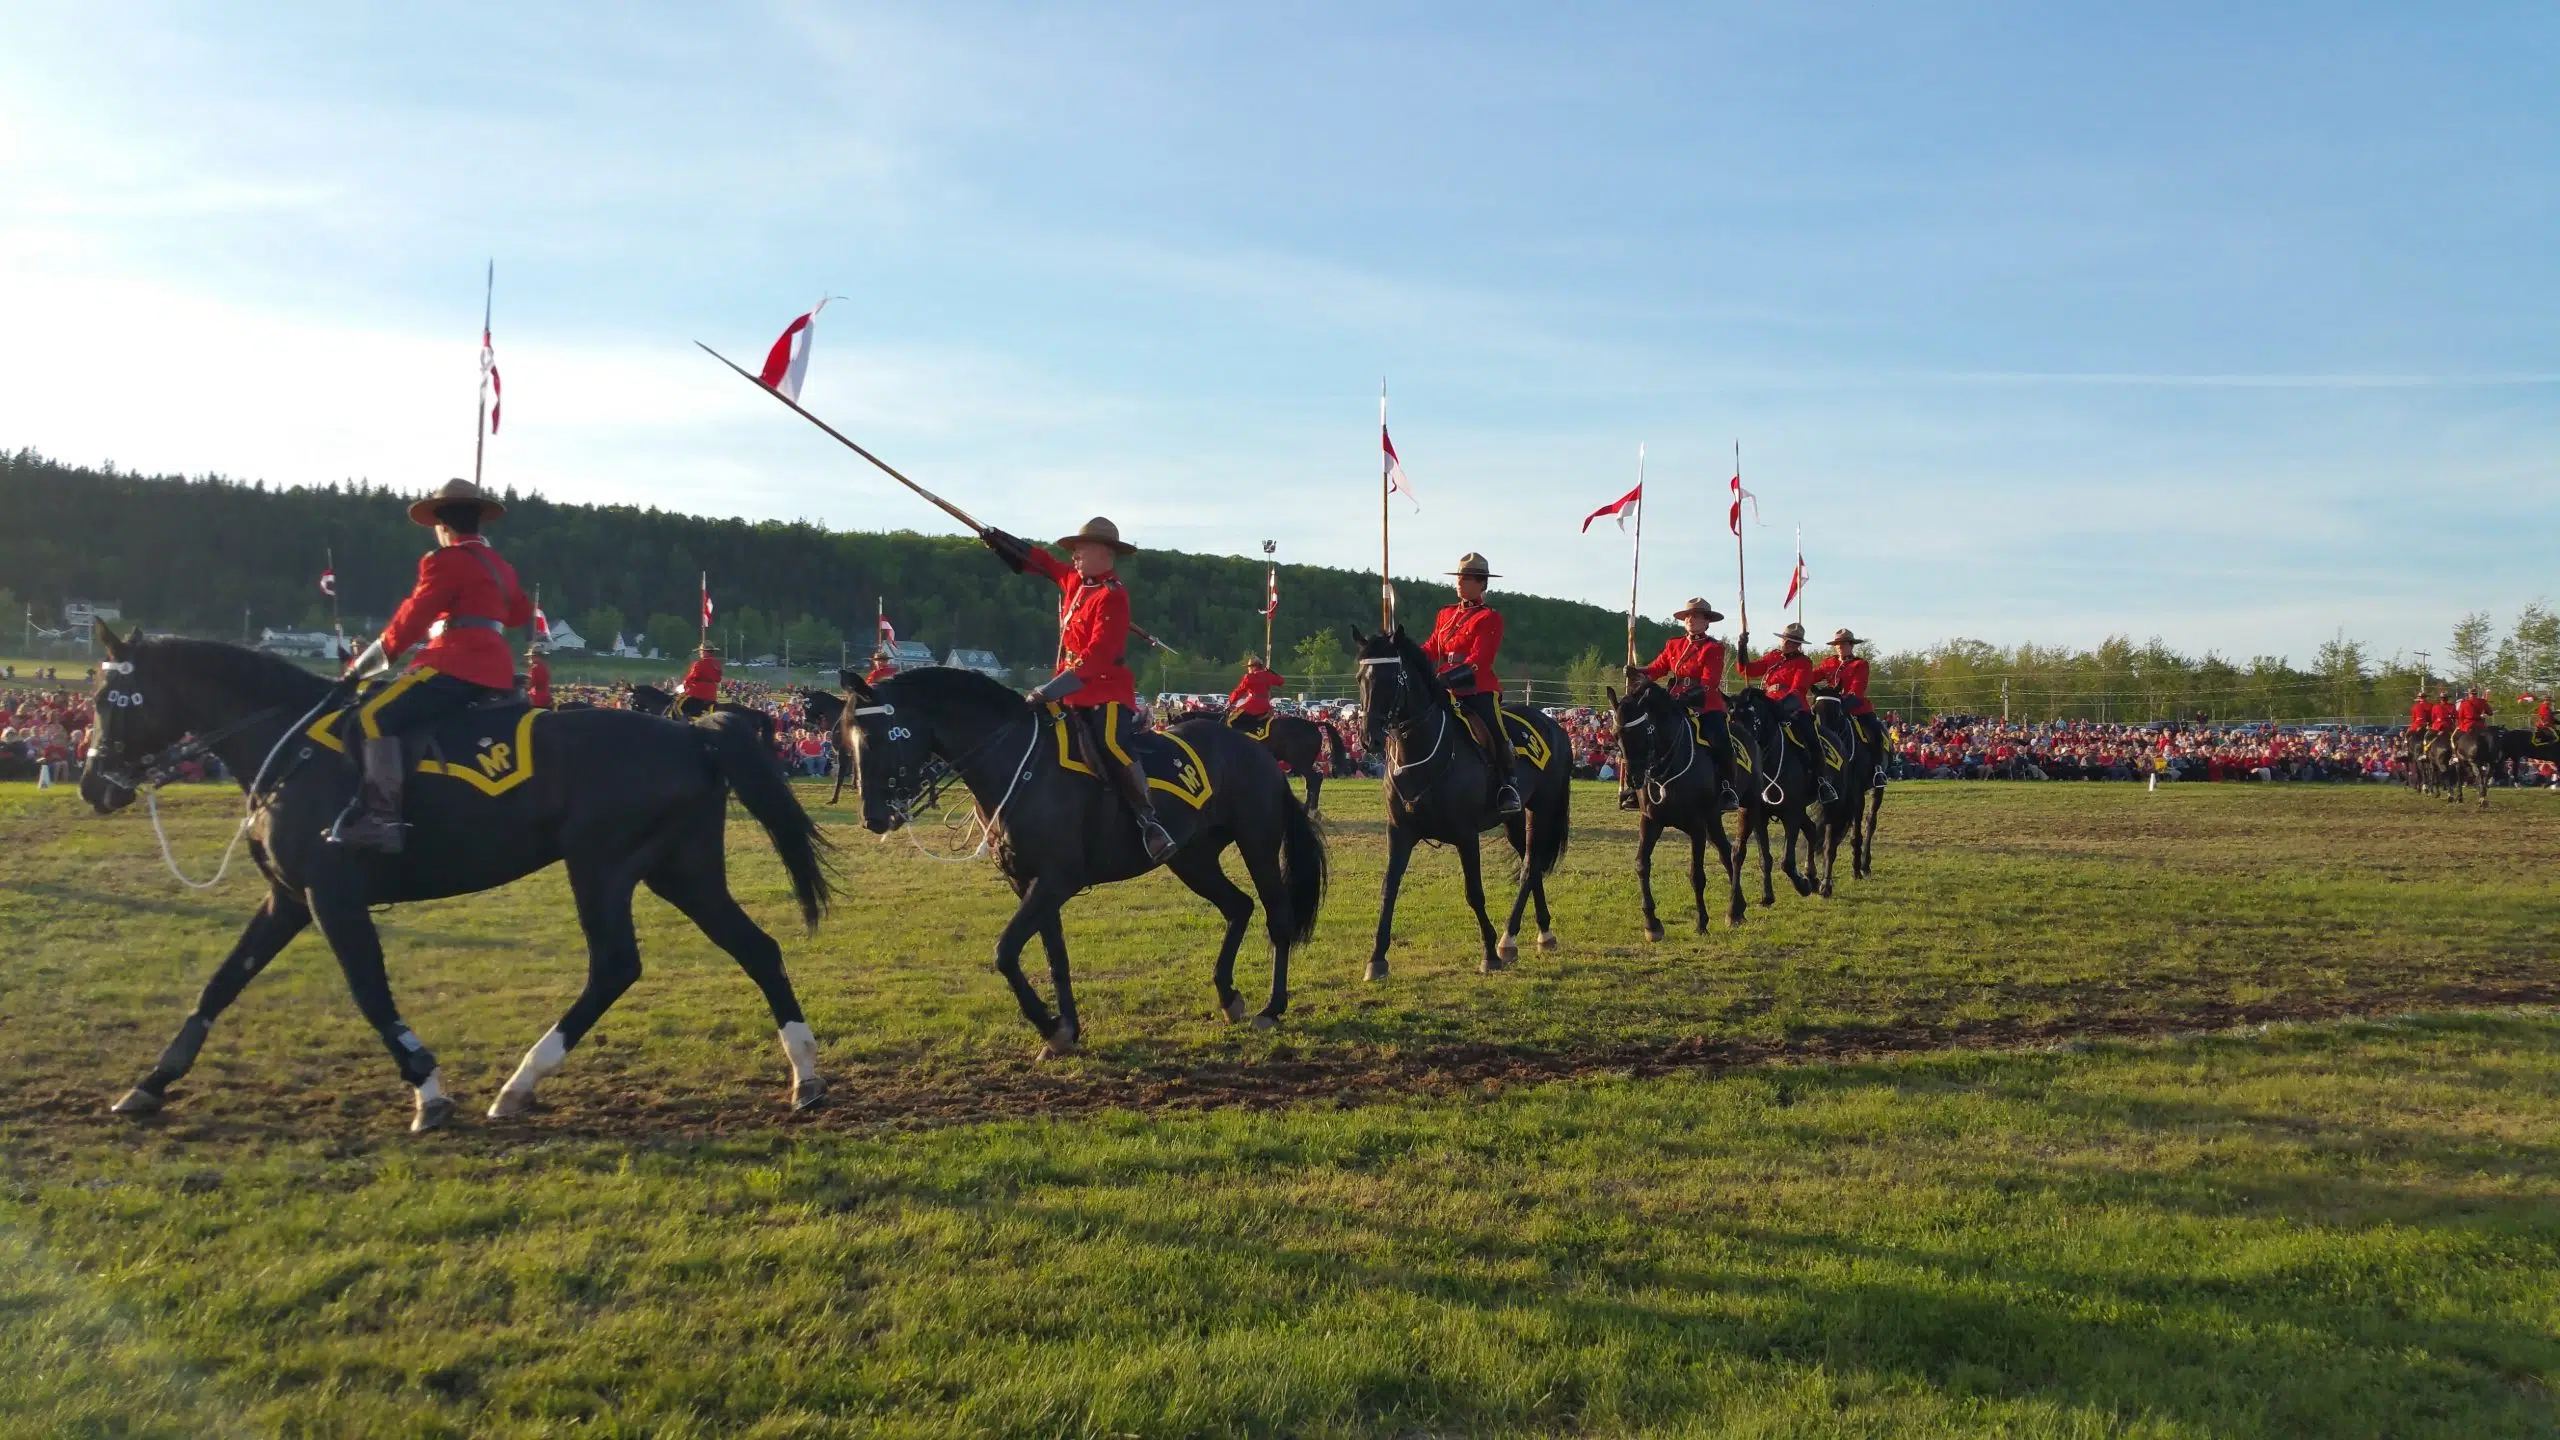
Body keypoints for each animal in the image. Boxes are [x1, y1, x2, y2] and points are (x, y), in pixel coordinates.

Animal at [80, 627, 834, 1132]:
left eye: (113, 697)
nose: (93, 784)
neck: (290, 747)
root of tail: (691, 735)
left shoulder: (332, 896)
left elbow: (370, 992)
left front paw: (429, 1090)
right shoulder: (290, 898)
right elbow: (222, 982)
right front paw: (150, 1084)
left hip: (603, 868)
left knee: (616, 965)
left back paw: (522, 1081)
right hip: (681, 871)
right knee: (756, 948)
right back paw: (804, 1075)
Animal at [844, 666, 1331, 1055]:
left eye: (880, 736)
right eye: (847, 740)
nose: (873, 817)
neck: (1018, 766)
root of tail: (1257, 751)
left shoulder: (1057, 879)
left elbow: (1005, 952)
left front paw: (1050, 1026)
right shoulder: (1029, 883)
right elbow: (1054, 957)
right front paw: (1066, 1030)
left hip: (1257, 844)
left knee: (1277, 916)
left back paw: (1272, 1008)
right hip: (1192, 859)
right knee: (1238, 907)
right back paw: (1228, 996)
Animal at [1351, 625, 1566, 973]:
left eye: (1391, 677)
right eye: (1361, 677)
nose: (1369, 738)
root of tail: (1553, 725)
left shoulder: (1466, 835)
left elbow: (1474, 892)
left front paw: (1489, 954)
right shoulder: (1399, 831)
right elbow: (1389, 887)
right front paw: (1377, 958)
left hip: (1542, 808)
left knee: (1531, 864)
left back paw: (1508, 938)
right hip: (1515, 817)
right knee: (1529, 863)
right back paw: (1541, 933)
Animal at [1597, 671, 1740, 937]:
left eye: (1645, 731)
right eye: (1615, 735)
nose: (1633, 779)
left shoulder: (1696, 826)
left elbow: (1696, 874)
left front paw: (1701, 922)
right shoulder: (1650, 821)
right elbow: (1642, 865)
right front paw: (1652, 924)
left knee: (1733, 854)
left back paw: (1735, 910)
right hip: (1713, 819)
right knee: (1727, 853)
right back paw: (1737, 909)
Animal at [1720, 691, 1822, 901]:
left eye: (1752, 717)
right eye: (1729, 718)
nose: (1740, 750)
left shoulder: (1791, 814)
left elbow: (1787, 861)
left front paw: (1802, 885)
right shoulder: (1758, 816)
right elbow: (1765, 858)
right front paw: (1767, 895)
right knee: (1810, 829)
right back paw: (1812, 877)